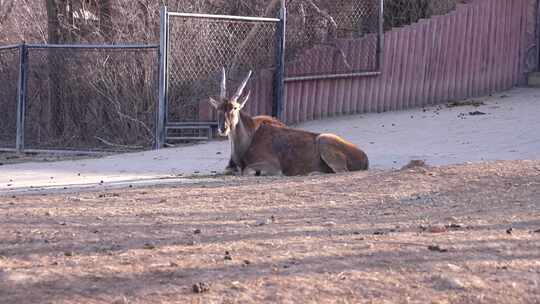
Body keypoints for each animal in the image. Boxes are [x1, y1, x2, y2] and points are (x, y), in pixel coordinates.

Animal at [209, 69, 370, 176]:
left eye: (235, 108)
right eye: (218, 108)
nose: (223, 128)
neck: (250, 136)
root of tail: (364, 157)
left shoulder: (272, 166)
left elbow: (247, 171)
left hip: (324, 140)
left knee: (341, 171)